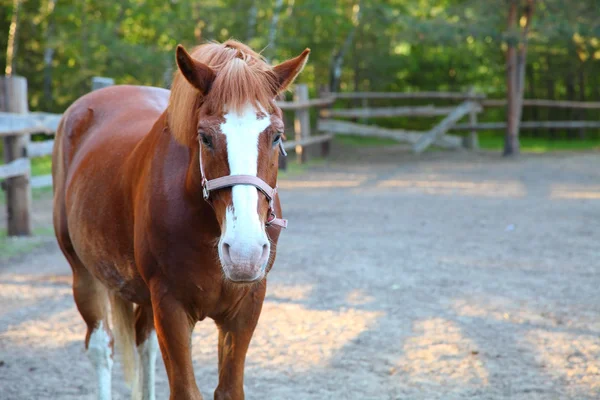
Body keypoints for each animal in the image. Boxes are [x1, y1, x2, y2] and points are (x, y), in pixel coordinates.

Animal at [52, 41, 310, 400]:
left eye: (276, 136)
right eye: (205, 137)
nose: (244, 253)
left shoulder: (246, 307)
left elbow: (228, 389)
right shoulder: (170, 306)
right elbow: (185, 390)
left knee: (143, 344)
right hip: (84, 273)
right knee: (102, 347)